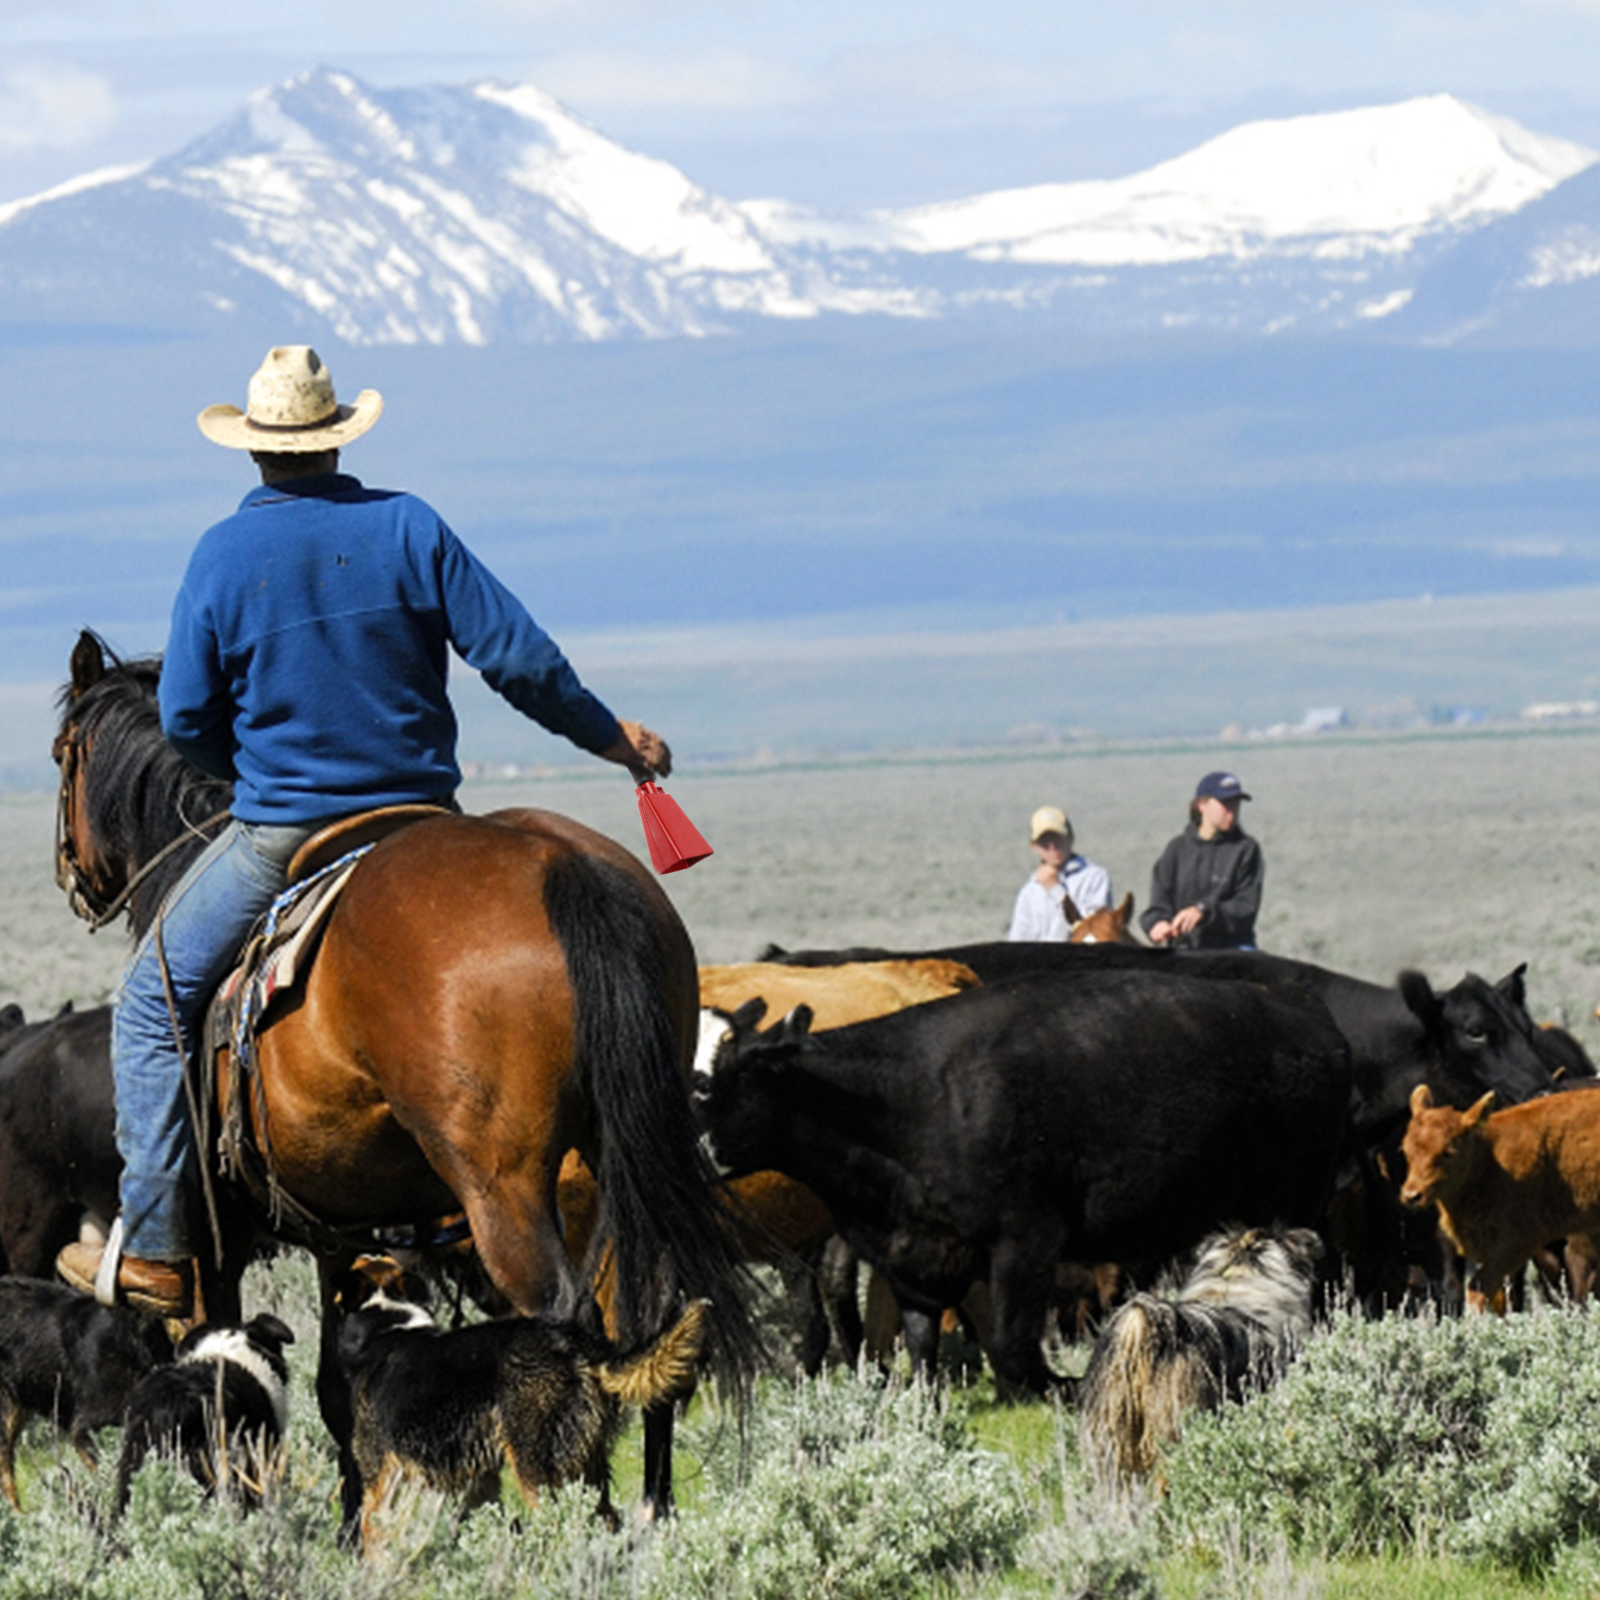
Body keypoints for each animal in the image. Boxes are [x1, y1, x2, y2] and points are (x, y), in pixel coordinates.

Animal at [334, 1254, 708, 1550]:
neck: (385, 1319)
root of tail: (575, 1342)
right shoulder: (477, 1480)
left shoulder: (378, 1476)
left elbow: (371, 1535)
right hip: (585, 1462)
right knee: (606, 1518)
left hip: (535, 1463)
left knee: (559, 1522)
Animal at [696, 967, 1353, 1393]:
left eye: (704, 1084)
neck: (904, 1100)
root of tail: (1302, 1009)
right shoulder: (912, 1257)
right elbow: (921, 1348)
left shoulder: (1025, 1240)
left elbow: (1014, 1349)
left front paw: (1067, 1386)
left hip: (1294, 1198)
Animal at [1400, 1083, 1600, 1312]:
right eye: (1406, 1150)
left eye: (1448, 1152)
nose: (1412, 1195)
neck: (1487, 1157)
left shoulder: (1516, 1242)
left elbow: (1479, 1288)